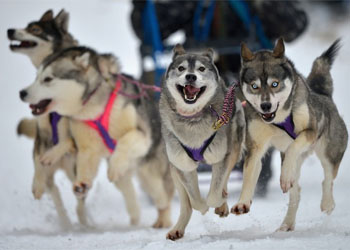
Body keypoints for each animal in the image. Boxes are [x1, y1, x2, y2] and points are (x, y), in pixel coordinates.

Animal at [9, 8, 85, 228]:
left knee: (79, 198)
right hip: (55, 175)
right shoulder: (41, 133)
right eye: (27, 25)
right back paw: (66, 223)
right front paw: (37, 184)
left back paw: (85, 222)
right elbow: (37, 160)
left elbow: (66, 141)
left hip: (74, 170)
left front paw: (51, 154)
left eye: (35, 29)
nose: (9, 31)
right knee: (56, 193)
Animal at [19, 47, 174, 229]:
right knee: (130, 194)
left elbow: (124, 141)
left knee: (163, 199)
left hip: (152, 176)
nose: (22, 93)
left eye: (48, 78)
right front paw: (82, 183)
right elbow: (85, 163)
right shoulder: (87, 147)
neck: (95, 107)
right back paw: (134, 220)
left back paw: (164, 221)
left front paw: (114, 166)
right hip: (126, 179)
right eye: (37, 76)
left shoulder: (142, 135)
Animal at [159, 45, 245, 240]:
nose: (191, 76)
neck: (192, 118)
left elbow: (215, 193)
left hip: (233, 149)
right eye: (181, 68)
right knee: (186, 205)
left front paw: (219, 203)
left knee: (224, 180)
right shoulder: (184, 166)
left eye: (201, 68)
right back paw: (177, 229)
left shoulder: (221, 157)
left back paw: (222, 203)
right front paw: (203, 206)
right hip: (174, 168)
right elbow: (195, 201)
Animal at [232, 38, 348, 231]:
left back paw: (327, 203)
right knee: (296, 192)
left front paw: (285, 176)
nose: (265, 106)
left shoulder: (310, 132)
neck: (279, 120)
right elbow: (249, 174)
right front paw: (243, 202)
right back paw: (287, 224)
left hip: (328, 152)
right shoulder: (255, 148)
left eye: (275, 84)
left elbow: (294, 144)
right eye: (254, 86)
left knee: (327, 178)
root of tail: (324, 95)